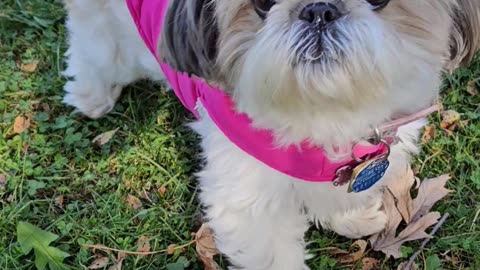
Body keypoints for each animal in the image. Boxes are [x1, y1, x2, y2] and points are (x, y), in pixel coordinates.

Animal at [62, 0, 478, 268]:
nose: (319, 9)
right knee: (92, 49)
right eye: (262, 3)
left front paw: (351, 217)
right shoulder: (249, 204)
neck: (322, 111)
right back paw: (91, 95)